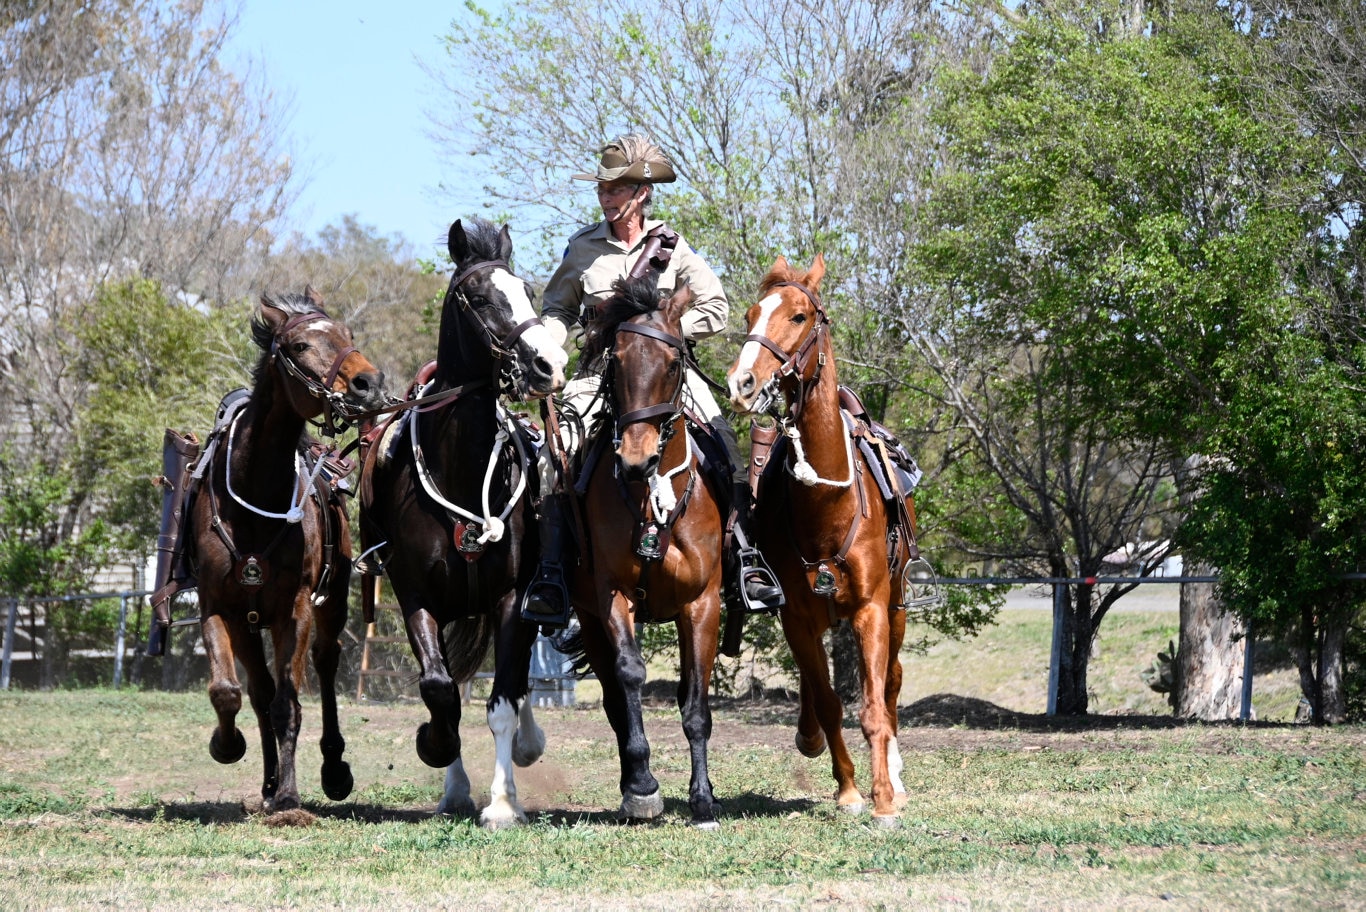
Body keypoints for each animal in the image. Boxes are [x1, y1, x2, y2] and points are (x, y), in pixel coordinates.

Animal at [191, 290, 390, 813]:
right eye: (300, 345)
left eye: (348, 334)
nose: (369, 384)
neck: (254, 492)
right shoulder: (220, 608)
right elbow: (230, 692)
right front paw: (229, 747)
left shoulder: (294, 610)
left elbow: (289, 704)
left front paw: (288, 795)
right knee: (258, 692)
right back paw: (264, 780)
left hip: (332, 603)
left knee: (323, 663)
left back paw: (332, 768)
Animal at [360, 217, 568, 830]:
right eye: (477, 298)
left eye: (527, 290)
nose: (548, 365)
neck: (459, 468)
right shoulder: (417, 597)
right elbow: (440, 689)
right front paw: (439, 753)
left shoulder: (511, 600)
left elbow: (503, 701)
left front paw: (501, 802)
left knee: (516, 689)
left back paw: (525, 749)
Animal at [557, 274, 726, 830]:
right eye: (616, 363)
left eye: (673, 363)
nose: (637, 458)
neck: (652, 497)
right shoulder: (613, 596)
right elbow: (630, 677)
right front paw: (644, 788)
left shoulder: (702, 604)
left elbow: (695, 704)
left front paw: (703, 800)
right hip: (588, 616)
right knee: (614, 696)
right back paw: (634, 782)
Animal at [726, 255, 917, 824]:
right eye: (751, 314)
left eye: (799, 315)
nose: (743, 381)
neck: (828, 504)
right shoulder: (797, 616)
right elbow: (830, 701)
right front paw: (850, 790)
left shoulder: (873, 609)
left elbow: (873, 706)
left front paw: (884, 797)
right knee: (819, 688)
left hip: (897, 608)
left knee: (892, 682)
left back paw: (896, 771)